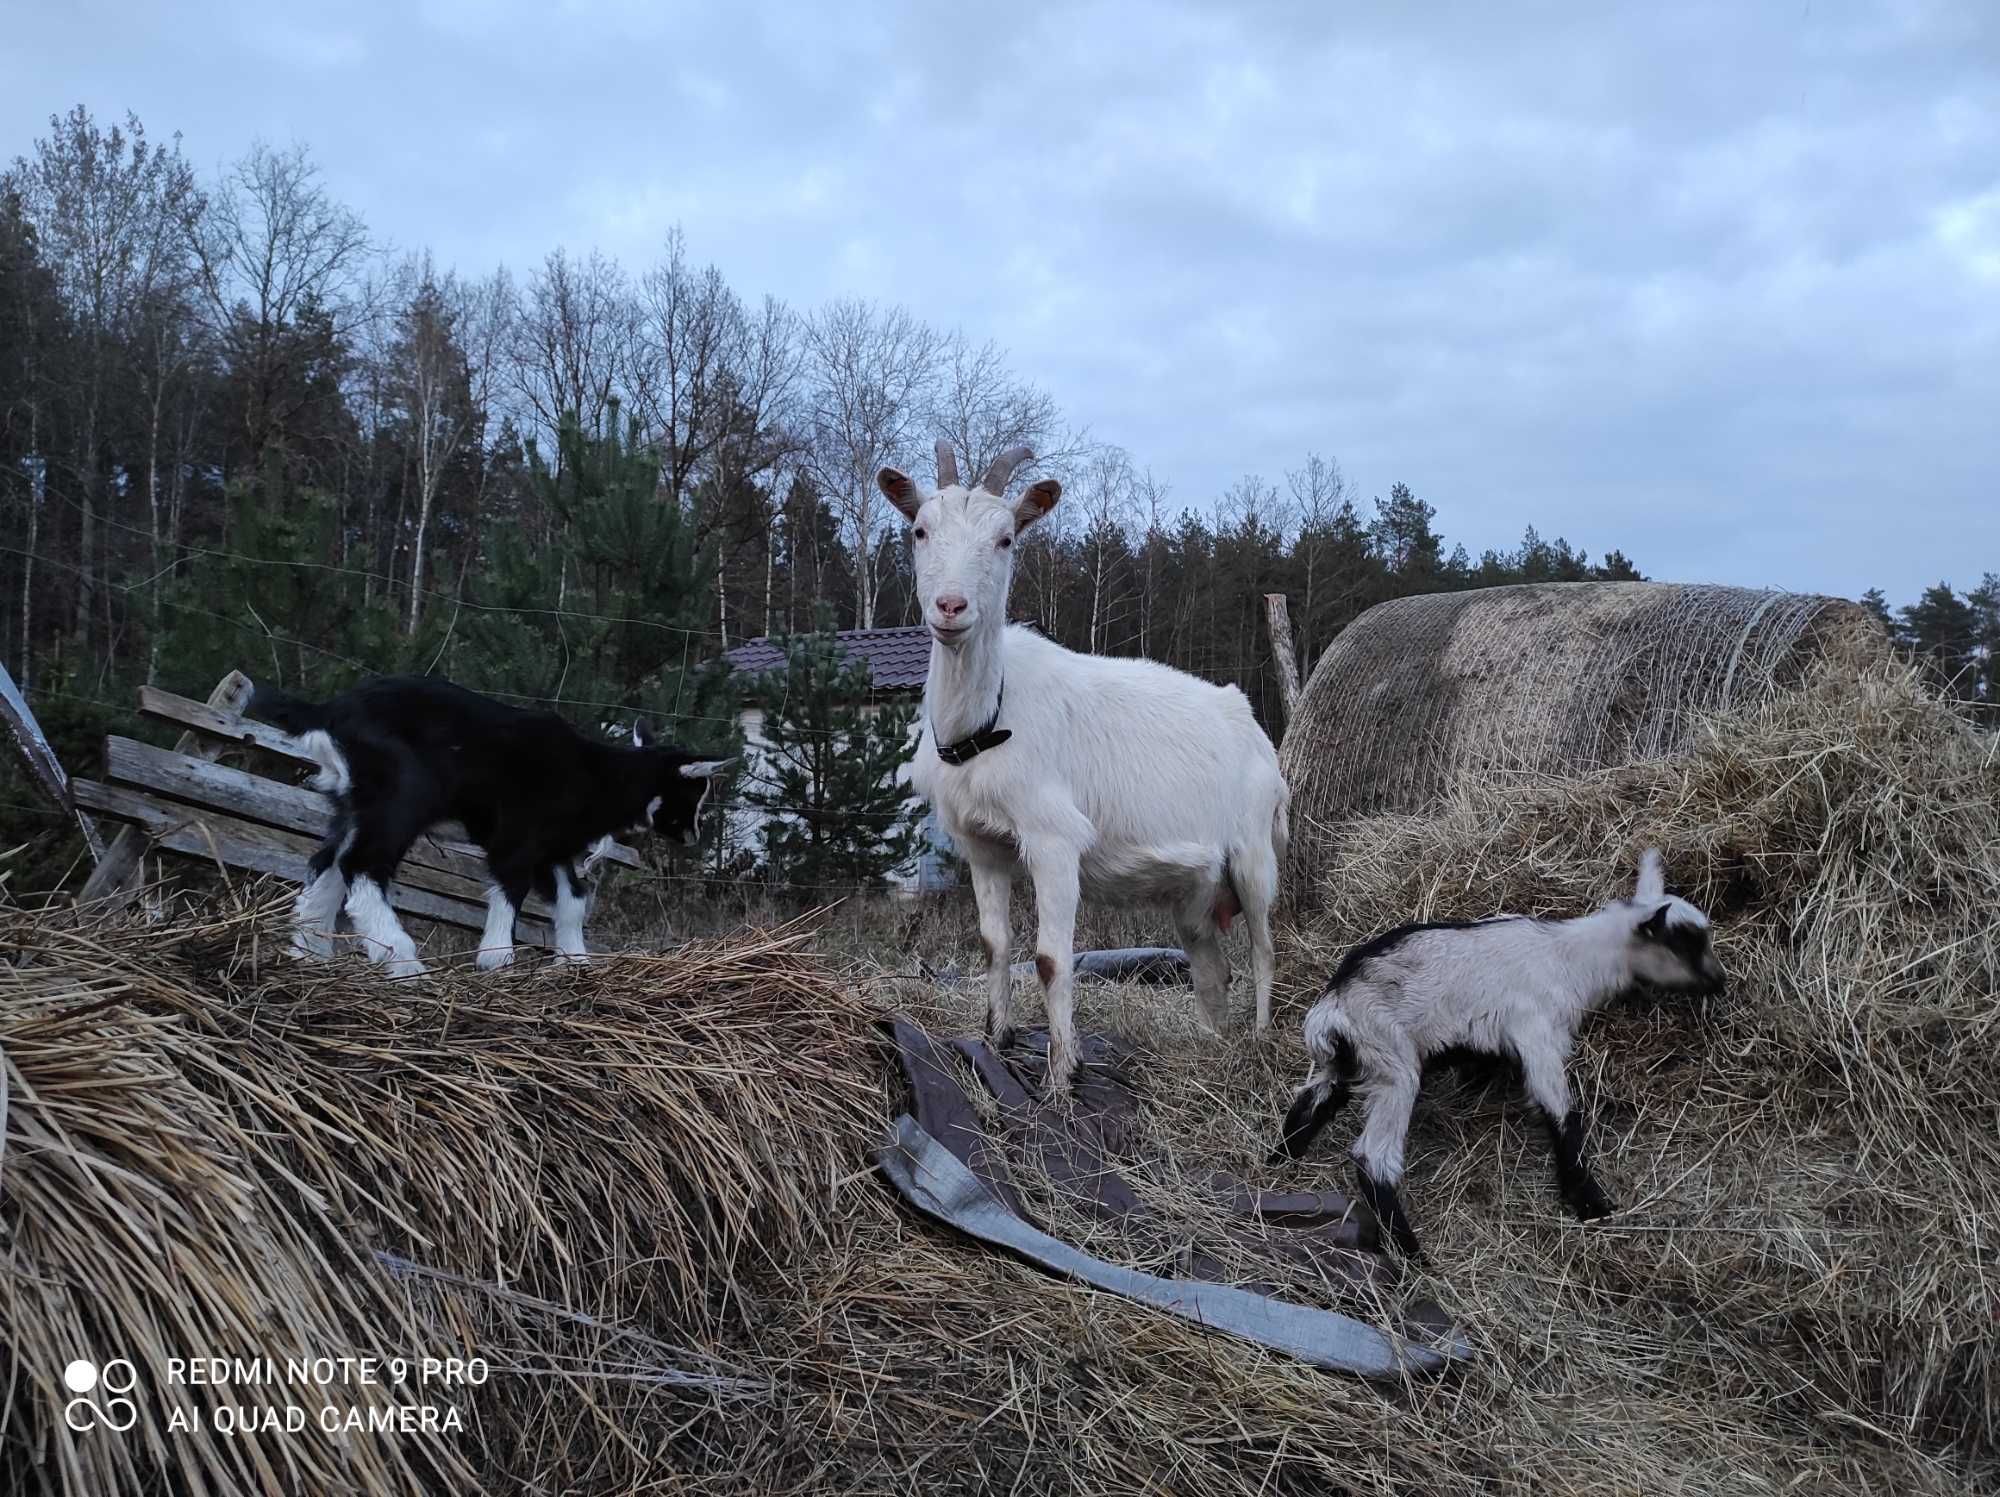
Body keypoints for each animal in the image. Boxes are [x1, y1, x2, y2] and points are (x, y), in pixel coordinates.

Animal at [880, 438, 1288, 1096]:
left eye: (1006, 539)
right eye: (920, 529)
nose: (951, 606)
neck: (989, 716)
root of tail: (1250, 721)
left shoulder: (1053, 840)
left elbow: (1051, 959)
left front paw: (1061, 1076)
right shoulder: (982, 845)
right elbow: (994, 944)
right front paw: (996, 1043)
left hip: (1254, 852)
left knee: (1263, 949)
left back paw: (1257, 1039)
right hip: (1195, 889)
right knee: (1212, 968)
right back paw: (1210, 1046)